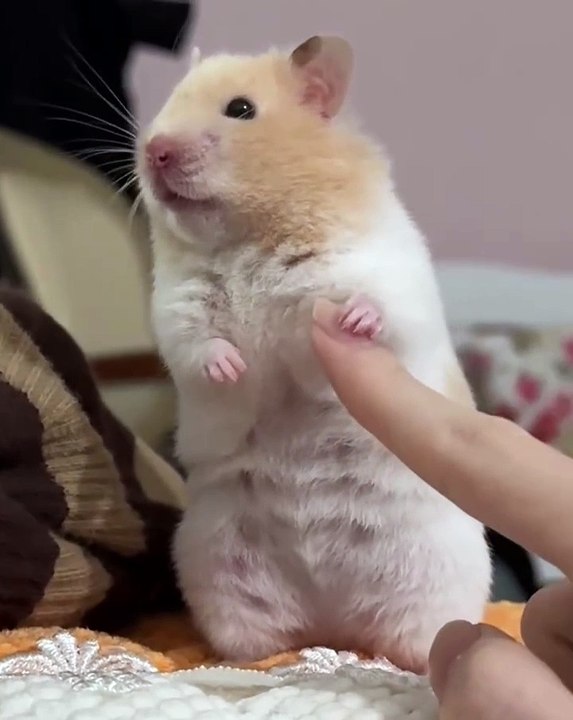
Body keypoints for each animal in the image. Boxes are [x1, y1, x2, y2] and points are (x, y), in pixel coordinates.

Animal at [137, 35, 491, 671]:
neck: (250, 235)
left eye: (241, 110)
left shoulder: (388, 271)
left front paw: (353, 322)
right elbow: (199, 344)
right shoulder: (178, 305)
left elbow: (381, 306)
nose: (155, 150)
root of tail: (334, 624)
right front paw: (232, 368)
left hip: (436, 579)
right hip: (216, 565)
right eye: (170, 101)